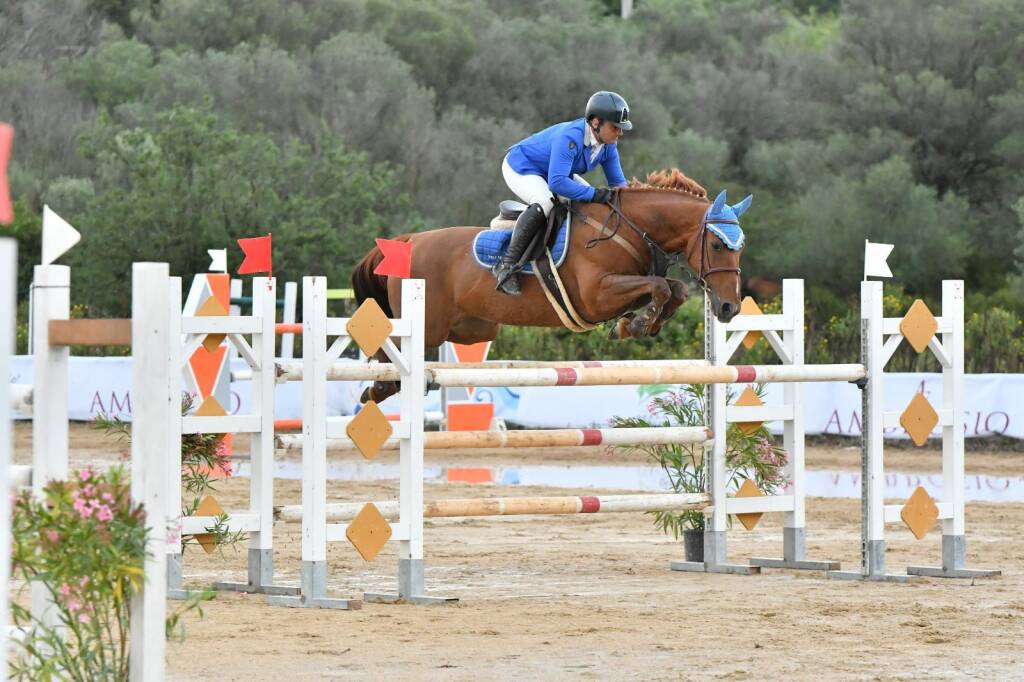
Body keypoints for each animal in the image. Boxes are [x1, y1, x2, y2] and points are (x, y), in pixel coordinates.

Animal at [350, 169, 745, 401]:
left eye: (741, 246)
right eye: (716, 245)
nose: (729, 308)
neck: (628, 229)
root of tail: (407, 241)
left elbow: (673, 288)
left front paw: (637, 324)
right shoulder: (596, 296)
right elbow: (661, 287)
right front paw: (636, 324)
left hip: (471, 328)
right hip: (429, 326)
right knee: (389, 349)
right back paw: (378, 387)